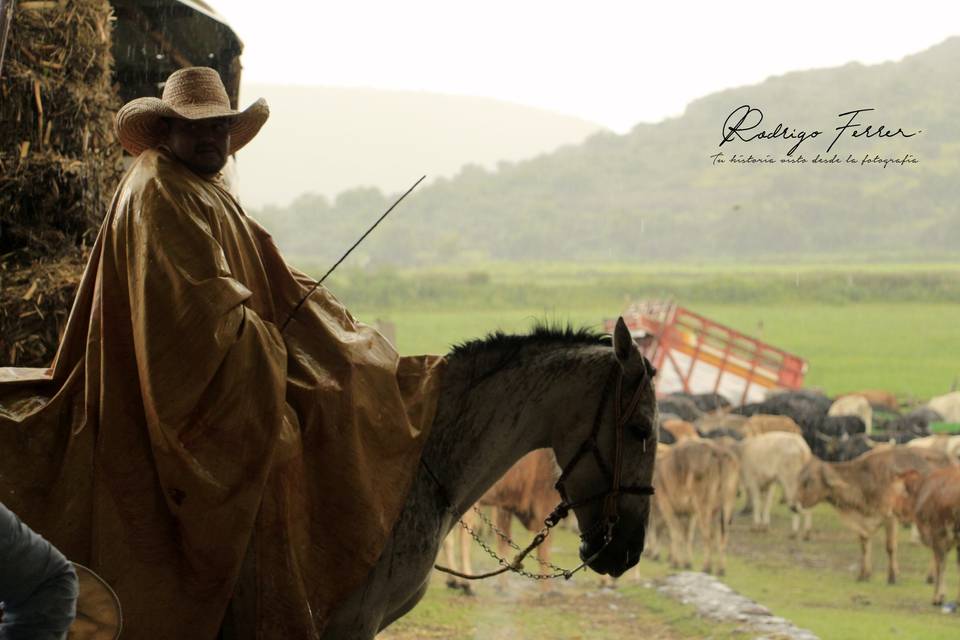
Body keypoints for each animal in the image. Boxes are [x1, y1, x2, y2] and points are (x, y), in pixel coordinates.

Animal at [796, 448, 952, 584]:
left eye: (809, 481)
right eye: (800, 478)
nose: (797, 502)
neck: (864, 480)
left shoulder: (890, 517)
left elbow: (890, 547)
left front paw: (892, 577)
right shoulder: (865, 523)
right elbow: (864, 546)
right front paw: (863, 575)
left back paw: (932, 577)